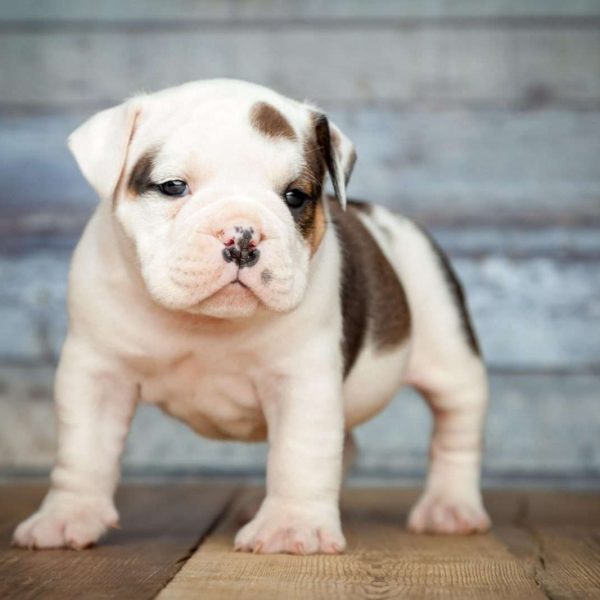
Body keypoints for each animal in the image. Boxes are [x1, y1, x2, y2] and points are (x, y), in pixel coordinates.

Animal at [14, 78, 490, 552]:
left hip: (449, 350)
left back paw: (450, 508)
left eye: (295, 197)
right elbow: (85, 449)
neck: (203, 322)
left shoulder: (302, 380)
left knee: (455, 427)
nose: (242, 235)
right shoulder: (97, 371)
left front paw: (293, 526)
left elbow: (299, 452)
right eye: (173, 186)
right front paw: (67, 516)